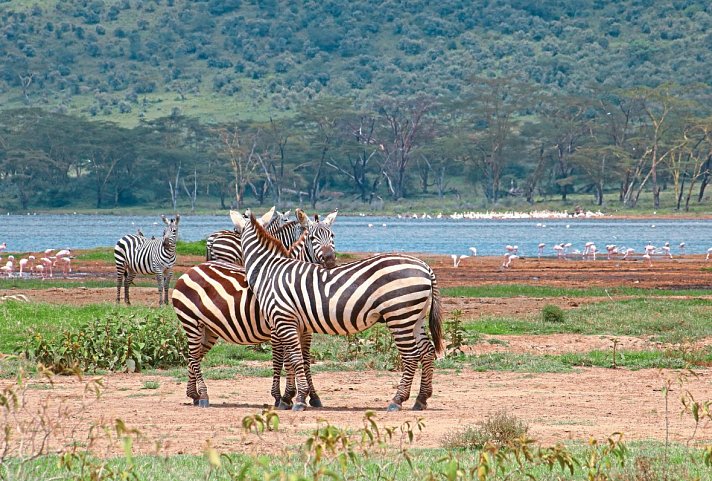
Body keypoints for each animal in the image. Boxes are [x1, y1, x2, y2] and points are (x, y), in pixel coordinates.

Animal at [172, 208, 340, 406]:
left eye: (332, 235)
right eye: (313, 238)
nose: (330, 261)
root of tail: (191, 269)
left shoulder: (305, 329)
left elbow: (304, 359)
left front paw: (311, 396)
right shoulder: (278, 327)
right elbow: (283, 360)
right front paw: (282, 396)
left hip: (208, 328)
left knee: (195, 356)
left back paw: (194, 394)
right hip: (191, 321)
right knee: (193, 355)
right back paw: (203, 395)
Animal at [243, 208, 444, 410]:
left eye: (332, 235)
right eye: (312, 237)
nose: (330, 260)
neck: (271, 271)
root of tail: (425, 266)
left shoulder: (283, 321)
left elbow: (289, 357)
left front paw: (292, 399)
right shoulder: (298, 324)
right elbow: (297, 359)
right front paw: (296, 397)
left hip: (399, 315)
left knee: (411, 355)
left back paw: (397, 400)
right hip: (415, 317)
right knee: (427, 351)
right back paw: (421, 399)